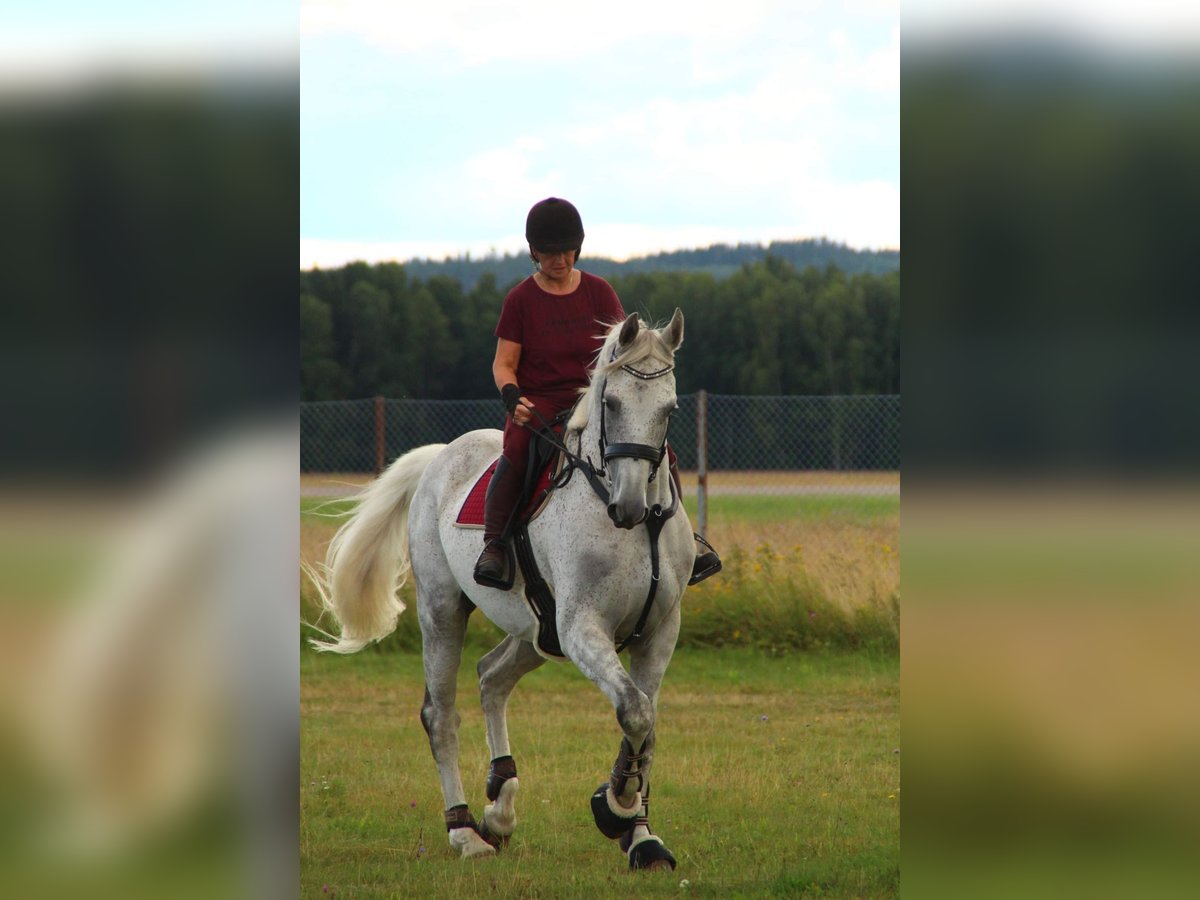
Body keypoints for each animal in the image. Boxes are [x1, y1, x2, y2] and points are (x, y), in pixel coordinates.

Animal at [309, 312, 696, 873]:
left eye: (670, 409)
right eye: (612, 404)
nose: (627, 507)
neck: (635, 528)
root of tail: (440, 457)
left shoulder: (659, 631)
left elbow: (645, 724)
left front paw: (641, 836)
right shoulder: (582, 628)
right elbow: (637, 712)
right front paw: (615, 807)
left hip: (536, 631)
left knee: (492, 677)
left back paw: (500, 807)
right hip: (444, 612)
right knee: (440, 715)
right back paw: (466, 831)